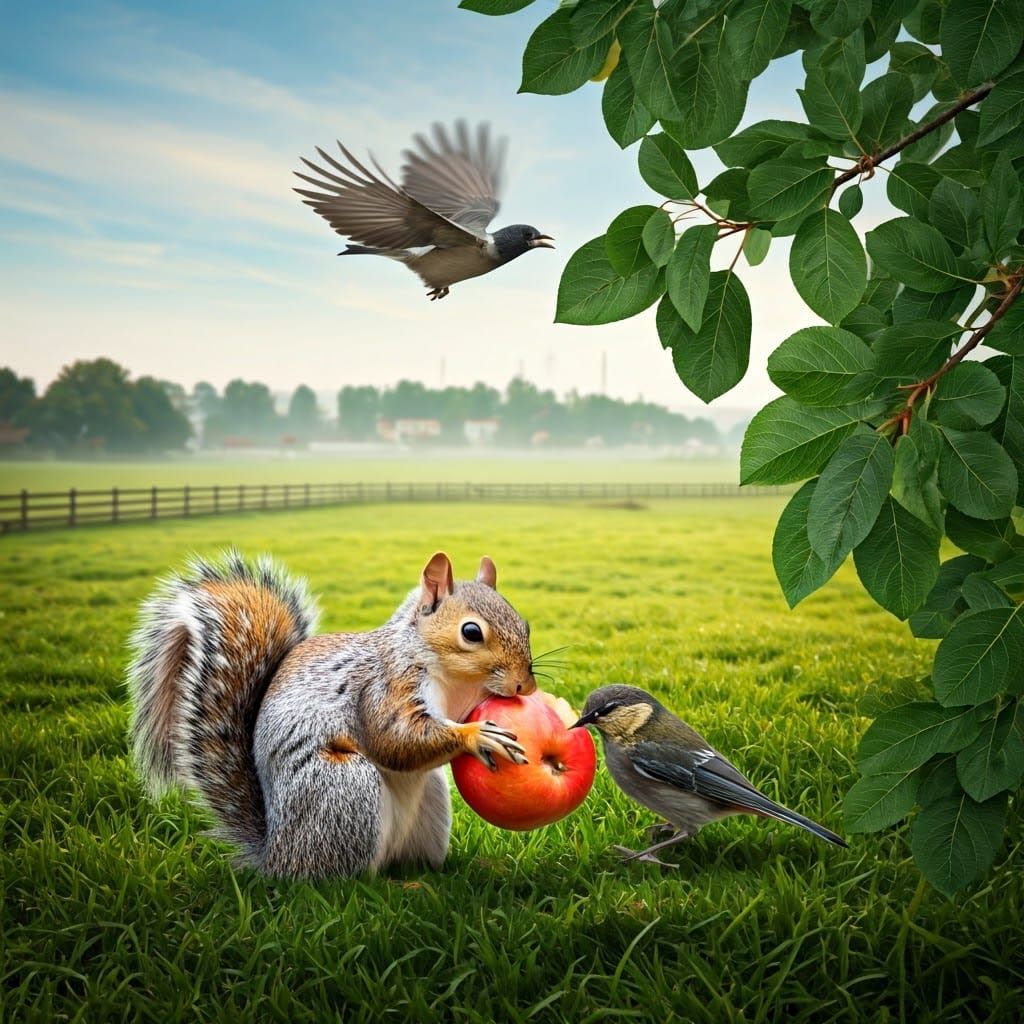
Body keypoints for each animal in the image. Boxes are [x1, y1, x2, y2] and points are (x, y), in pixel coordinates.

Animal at [127, 549, 536, 879]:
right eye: (471, 632)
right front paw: (476, 736)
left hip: (428, 804)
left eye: (525, 624)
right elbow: (396, 739)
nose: (525, 687)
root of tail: (276, 857)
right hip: (346, 788)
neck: (455, 682)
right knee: (343, 882)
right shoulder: (385, 686)